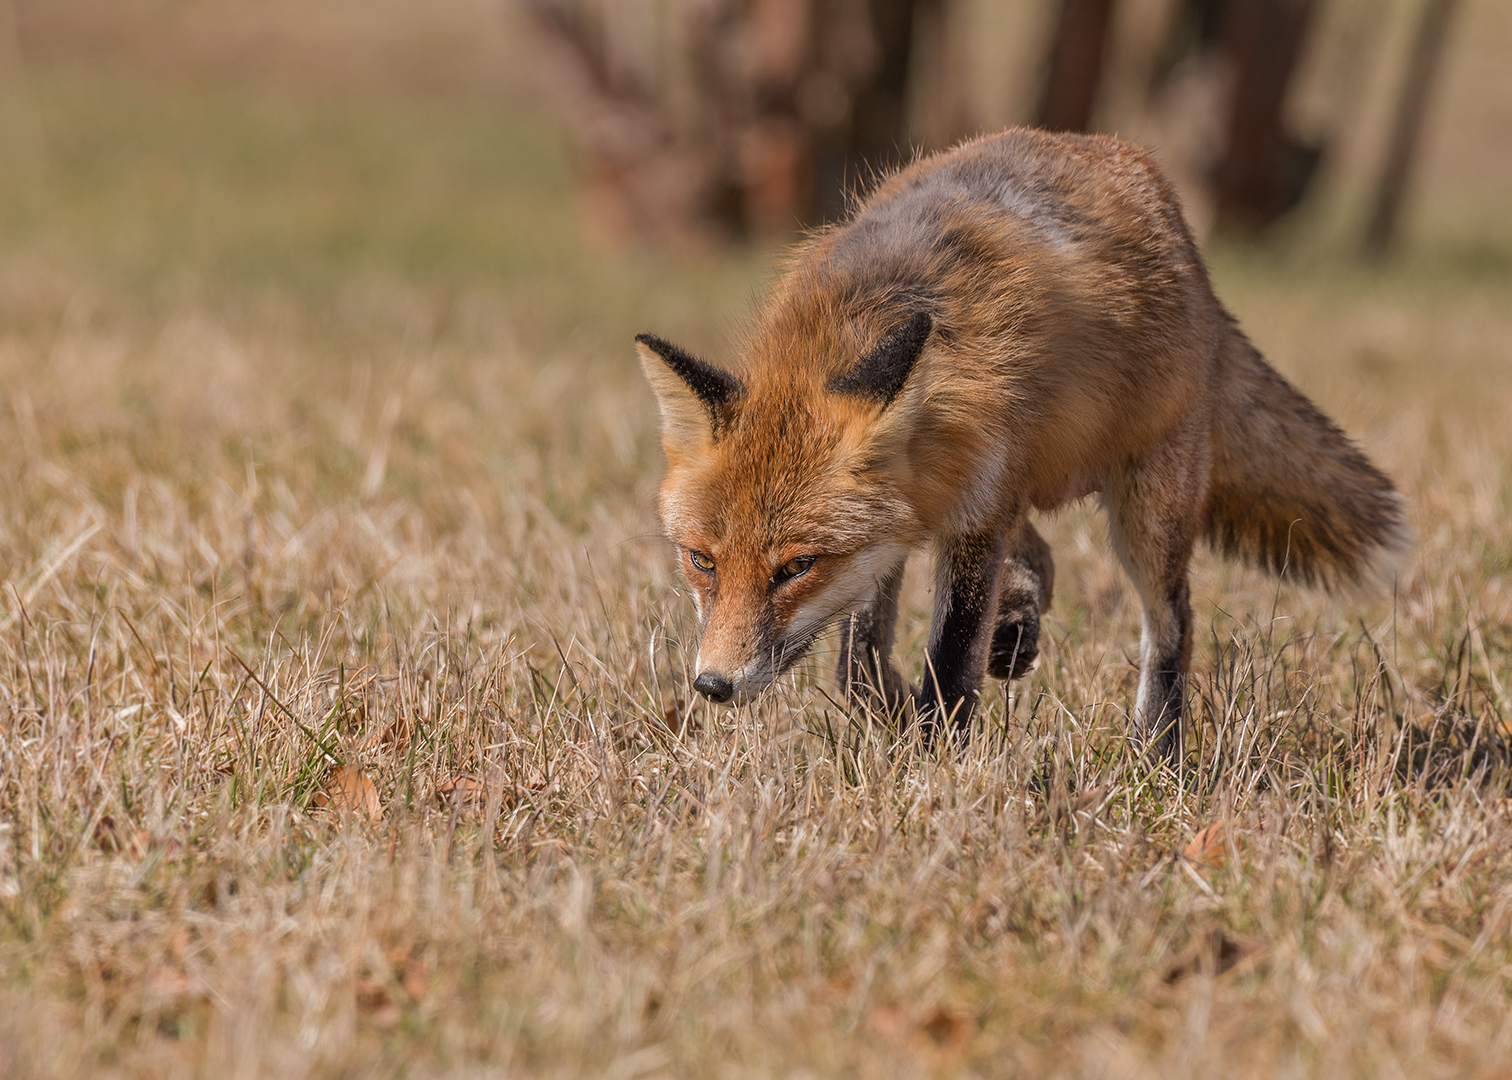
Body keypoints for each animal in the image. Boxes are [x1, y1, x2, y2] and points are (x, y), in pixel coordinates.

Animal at [635, 128, 1403, 756]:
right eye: (701, 560)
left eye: (796, 567)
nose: (712, 686)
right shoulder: (906, 528)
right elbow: (858, 664)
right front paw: (893, 721)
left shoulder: (975, 515)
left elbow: (949, 664)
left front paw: (930, 766)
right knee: (1044, 556)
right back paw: (1019, 624)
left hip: (1146, 511)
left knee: (1173, 622)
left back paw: (1156, 753)